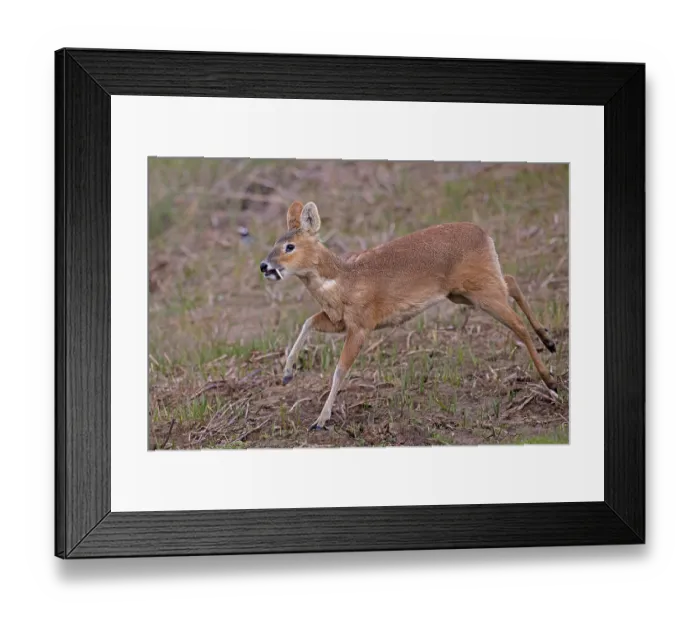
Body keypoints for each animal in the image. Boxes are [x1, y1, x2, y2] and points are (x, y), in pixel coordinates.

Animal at [260, 200, 558, 431]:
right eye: (274, 242)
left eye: (289, 246)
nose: (264, 266)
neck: (344, 281)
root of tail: (485, 234)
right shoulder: (339, 321)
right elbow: (307, 322)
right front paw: (287, 375)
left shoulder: (362, 324)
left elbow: (339, 370)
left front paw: (321, 420)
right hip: (465, 291)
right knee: (512, 282)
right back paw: (549, 341)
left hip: (480, 290)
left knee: (517, 324)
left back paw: (551, 380)